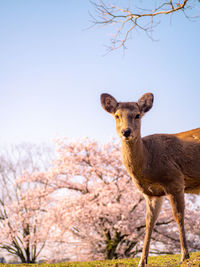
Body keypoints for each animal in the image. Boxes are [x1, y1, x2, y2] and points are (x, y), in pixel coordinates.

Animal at [101, 92, 200, 267]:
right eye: (117, 115)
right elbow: (149, 222)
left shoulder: (175, 179)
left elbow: (178, 216)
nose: (126, 132)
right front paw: (142, 261)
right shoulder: (152, 193)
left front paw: (184, 256)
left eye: (137, 115)